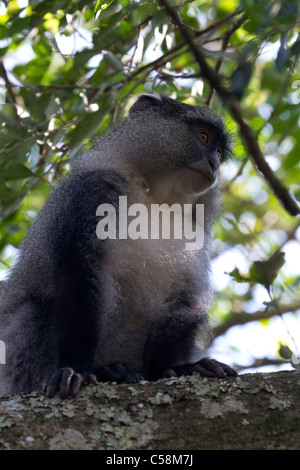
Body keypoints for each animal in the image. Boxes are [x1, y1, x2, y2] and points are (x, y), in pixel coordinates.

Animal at [0, 93, 237, 398]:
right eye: (203, 136)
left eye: (219, 153)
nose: (214, 164)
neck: (155, 197)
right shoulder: (93, 191)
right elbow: (80, 270)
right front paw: (74, 369)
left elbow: (185, 299)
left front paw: (180, 368)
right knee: (34, 311)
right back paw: (109, 371)